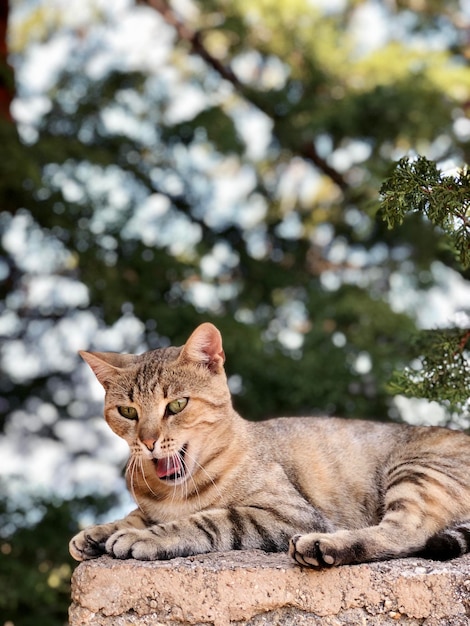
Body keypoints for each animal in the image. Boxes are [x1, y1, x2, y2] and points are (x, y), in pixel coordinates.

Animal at [69, 320, 470, 568]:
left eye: (177, 405)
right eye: (127, 411)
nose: (149, 442)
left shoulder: (286, 514)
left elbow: (208, 520)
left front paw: (143, 536)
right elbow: (134, 515)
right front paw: (97, 532)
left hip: (417, 471)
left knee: (407, 533)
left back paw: (323, 547)